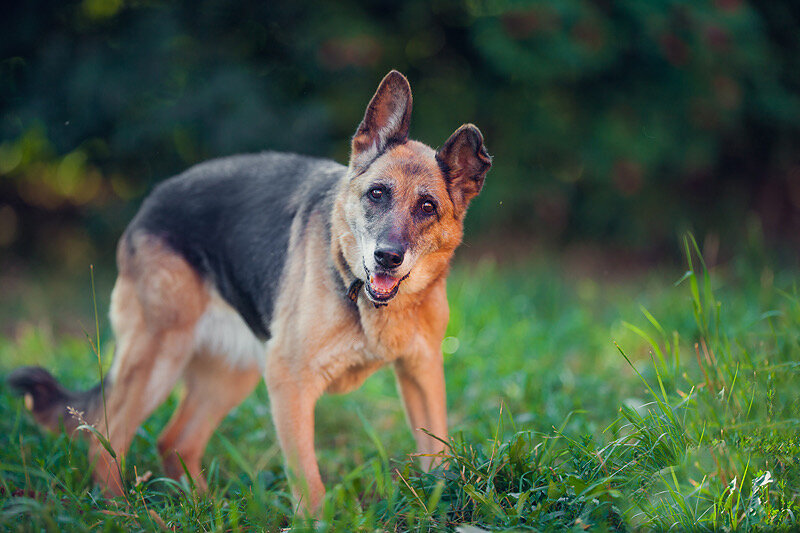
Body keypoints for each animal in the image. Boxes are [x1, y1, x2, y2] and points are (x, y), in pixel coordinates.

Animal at [9, 68, 490, 510]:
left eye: (427, 207)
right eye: (377, 194)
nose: (387, 257)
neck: (359, 291)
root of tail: (153, 199)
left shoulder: (422, 372)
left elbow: (438, 458)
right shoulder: (290, 384)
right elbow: (309, 484)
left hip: (230, 374)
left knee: (175, 441)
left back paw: (203, 506)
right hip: (157, 358)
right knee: (104, 440)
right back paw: (121, 511)